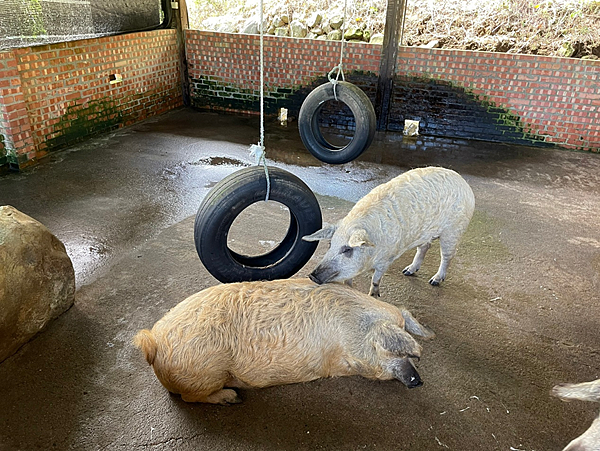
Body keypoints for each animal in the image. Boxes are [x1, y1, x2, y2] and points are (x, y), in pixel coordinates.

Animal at [304, 166, 474, 296]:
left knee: (447, 256)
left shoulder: (387, 258)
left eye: (347, 249)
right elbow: (348, 280)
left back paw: (434, 281)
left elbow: (376, 280)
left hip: (454, 230)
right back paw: (407, 271)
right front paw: (350, 289)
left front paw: (373, 296)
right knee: (425, 247)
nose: (312, 275)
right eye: (330, 245)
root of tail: (464, 183)